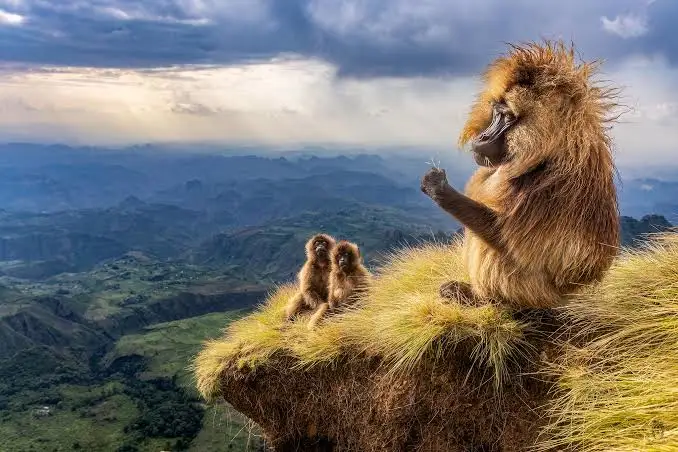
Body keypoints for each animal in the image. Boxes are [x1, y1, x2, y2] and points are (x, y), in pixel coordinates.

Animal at [420, 41, 620, 309]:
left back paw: (481, 298)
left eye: (507, 117)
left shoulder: (547, 186)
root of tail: (569, 296)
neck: (549, 151)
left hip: (535, 293)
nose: (482, 137)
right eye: (496, 112)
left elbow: (511, 243)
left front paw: (439, 188)